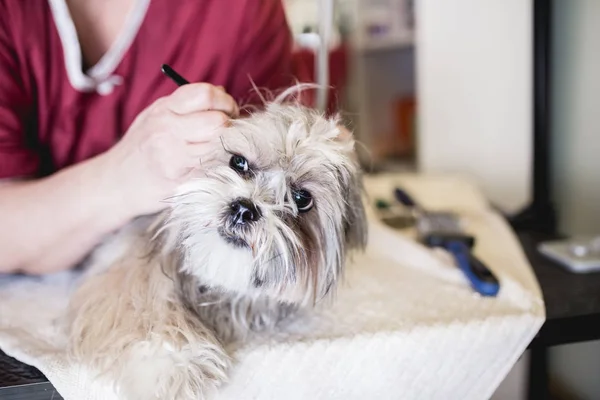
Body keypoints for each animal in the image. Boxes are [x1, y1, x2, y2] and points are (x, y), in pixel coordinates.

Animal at [64, 88, 366, 400]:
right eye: (239, 163)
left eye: (302, 199)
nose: (244, 208)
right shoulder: (126, 265)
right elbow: (144, 307)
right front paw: (175, 362)